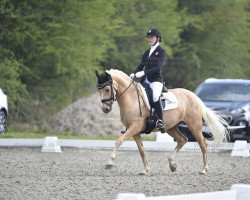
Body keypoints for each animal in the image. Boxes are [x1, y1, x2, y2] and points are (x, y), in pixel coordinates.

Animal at [94, 69, 228, 175]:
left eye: (107, 89)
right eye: (98, 90)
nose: (105, 109)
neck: (131, 98)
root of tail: (195, 97)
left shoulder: (134, 127)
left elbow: (119, 141)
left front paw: (109, 163)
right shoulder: (135, 131)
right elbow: (141, 149)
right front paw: (145, 170)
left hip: (194, 126)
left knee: (203, 144)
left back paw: (204, 169)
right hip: (171, 127)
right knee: (182, 140)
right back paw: (172, 165)